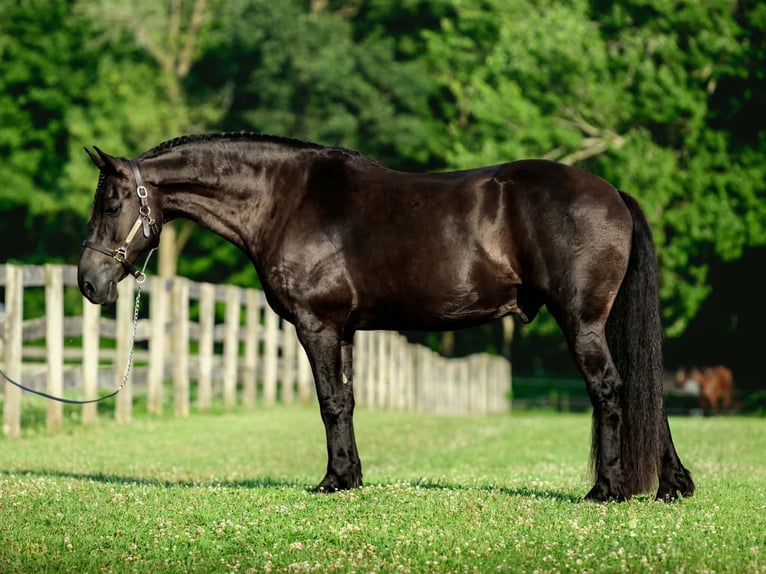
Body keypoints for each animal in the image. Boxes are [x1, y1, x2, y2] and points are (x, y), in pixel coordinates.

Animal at [77, 132, 694, 502]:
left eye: (111, 204)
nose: (88, 282)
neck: (285, 200)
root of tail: (612, 192)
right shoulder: (344, 330)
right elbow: (346, 402)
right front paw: (350, 478)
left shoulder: (317, 326)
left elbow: (329, 402)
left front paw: (331, 482)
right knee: (645, 390)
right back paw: (673, 485)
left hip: (582, 322)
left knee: (610, 389)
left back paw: (607, 490)